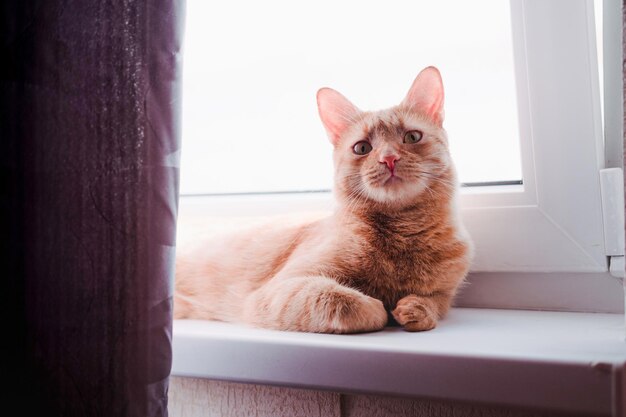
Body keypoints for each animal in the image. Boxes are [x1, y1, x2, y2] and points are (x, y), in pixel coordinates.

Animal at [173, 66, 470, 334]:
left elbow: (433, 305)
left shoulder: (444, 295)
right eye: (363, 148)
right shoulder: (283, 289)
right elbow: (350, 302)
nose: (389, 158)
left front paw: (415, 309)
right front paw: (380, 308)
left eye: (412, 136)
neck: (403, 234)